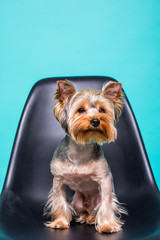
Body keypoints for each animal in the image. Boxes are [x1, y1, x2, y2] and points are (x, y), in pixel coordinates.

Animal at [44, 80, 127, 232]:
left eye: (102, 110)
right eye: (81, 110)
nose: (95, 121)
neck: (81, 148)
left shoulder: (104, 179)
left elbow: (106, 203)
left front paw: (107, 225)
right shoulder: (58, 180)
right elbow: (60, 200)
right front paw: (60, 222)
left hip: (96, 202)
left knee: (97, 210)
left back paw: (92, 219)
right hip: (77, 202)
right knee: (83, 211)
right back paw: (84, 218)